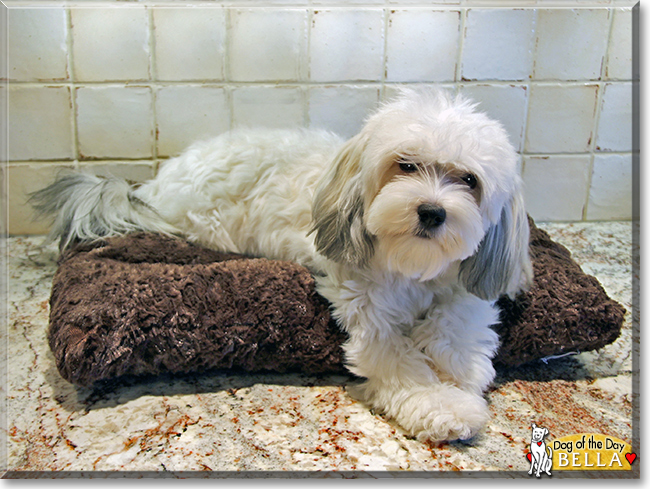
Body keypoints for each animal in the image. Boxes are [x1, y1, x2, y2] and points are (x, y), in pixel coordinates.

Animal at [31, 86, 532, 442]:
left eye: (469, 180)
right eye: (405, 165)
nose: (432, 211)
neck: (411, 266)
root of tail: (156, 184)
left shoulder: (464, 292)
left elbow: (458, 334)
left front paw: (458, 375)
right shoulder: (369, 312)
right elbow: (404, 365)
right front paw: (446, 407)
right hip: (211, 226)